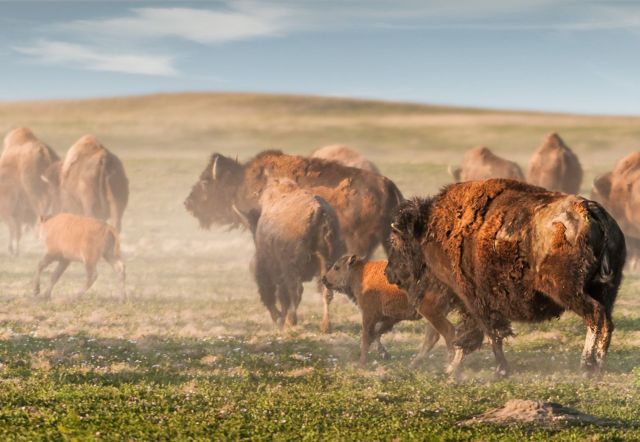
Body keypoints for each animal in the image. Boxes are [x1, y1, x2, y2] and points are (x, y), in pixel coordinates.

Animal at [385, 179, 625, 378]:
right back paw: (598, 365)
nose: (389, 273)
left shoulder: (474, 300)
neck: (432, 228)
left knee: (595, 317)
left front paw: (498, 370)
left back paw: (586, 367)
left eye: (398, 242)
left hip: (569, 292)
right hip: (606, 291)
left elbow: (489, 335)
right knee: (607, 322)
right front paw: (453, 367)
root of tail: (590, 211)